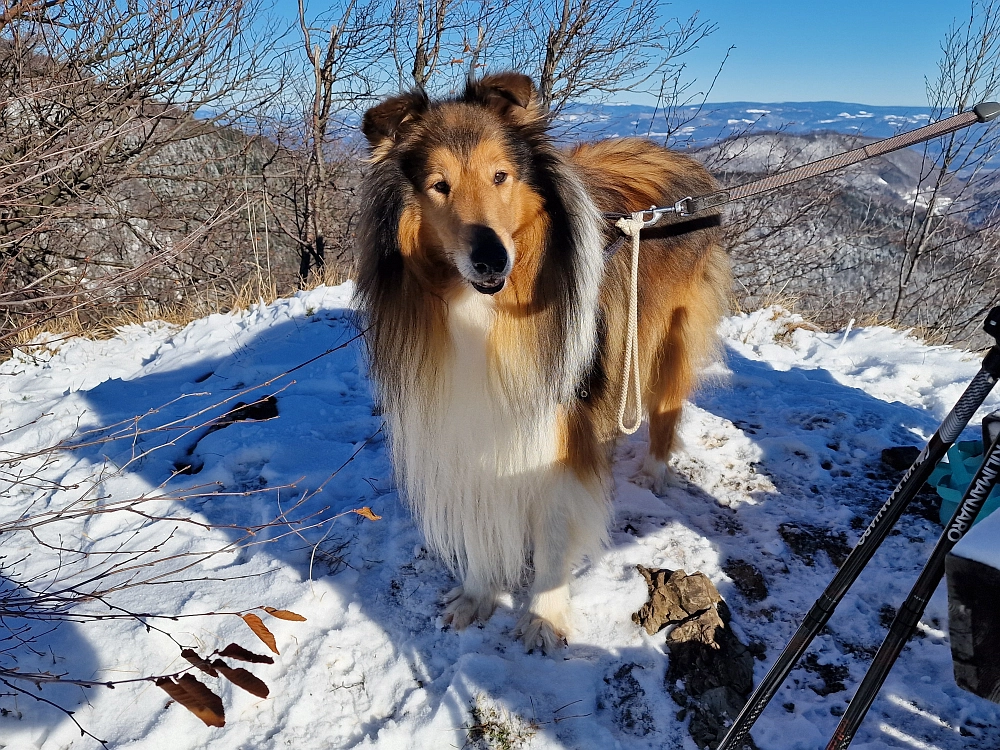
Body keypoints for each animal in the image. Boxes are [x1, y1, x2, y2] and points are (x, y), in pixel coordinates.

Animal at [356, 73, 732, 656]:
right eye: (439, 184)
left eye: (500, 175)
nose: (491, 259)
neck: (482, 314)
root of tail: (686, 162)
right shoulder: (464, 423)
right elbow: (481, 523)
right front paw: (478, 595)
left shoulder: (557, 428)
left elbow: (554, 533)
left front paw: (543, 618)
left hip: (666, 337)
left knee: (665, 409)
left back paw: (652, 472)